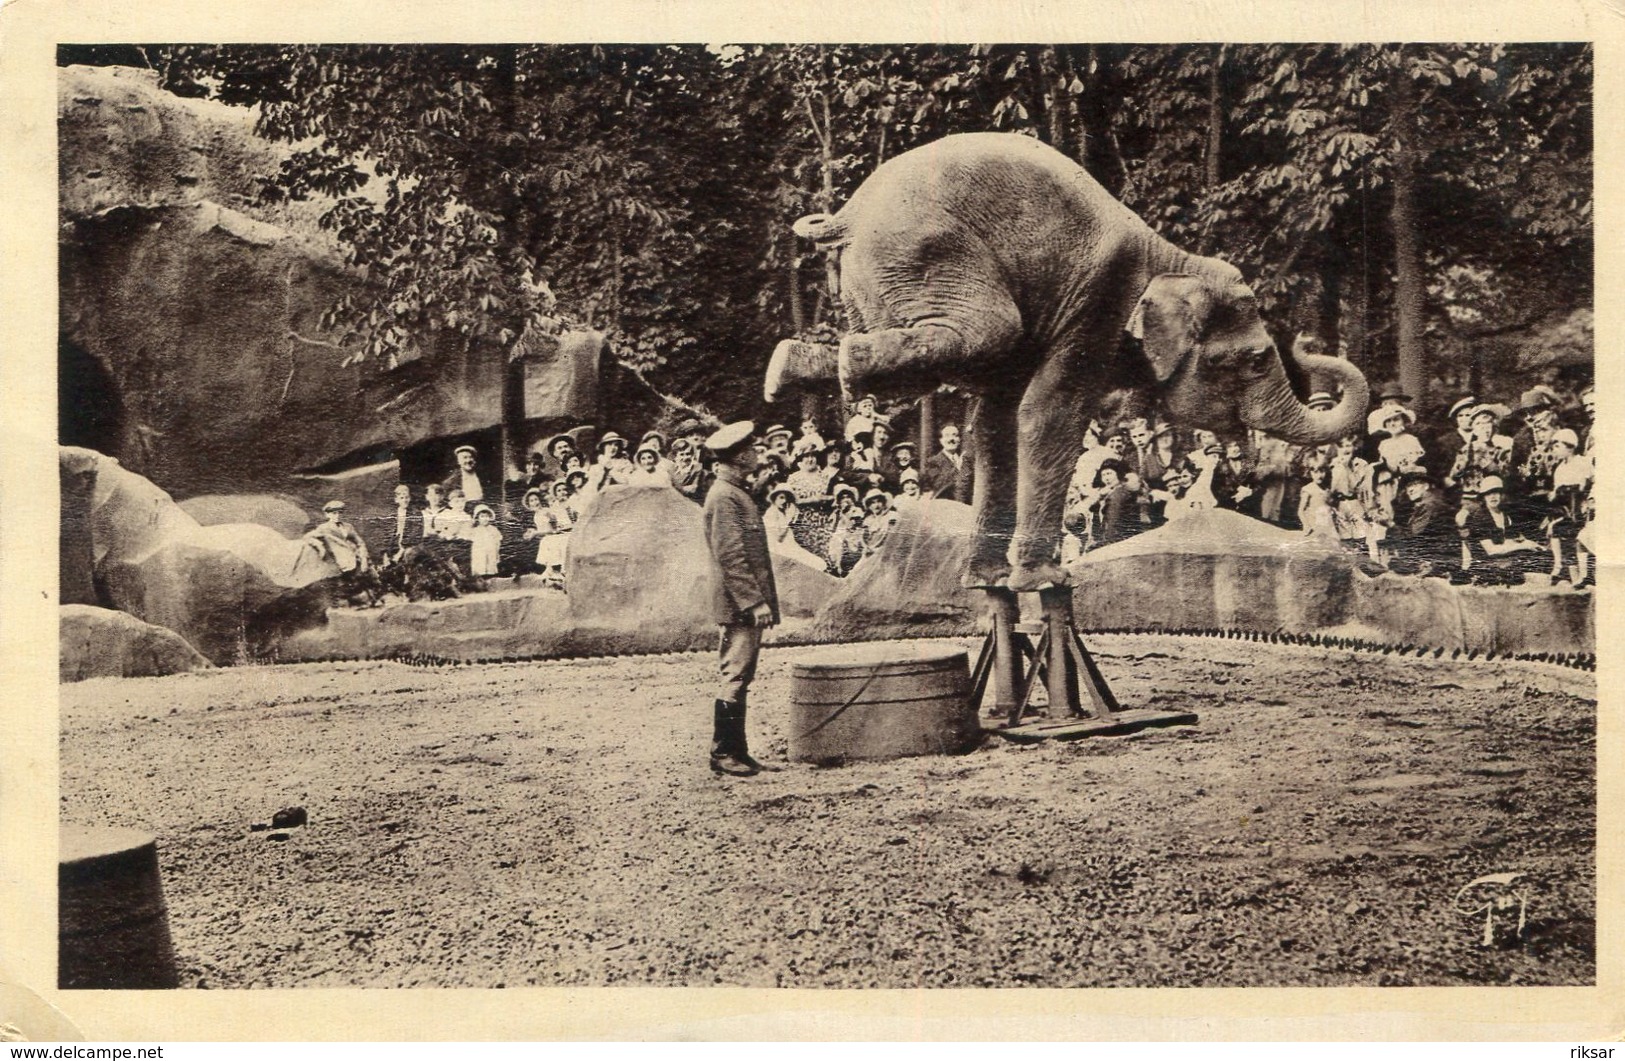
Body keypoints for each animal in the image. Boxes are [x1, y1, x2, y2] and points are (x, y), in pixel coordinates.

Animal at [767, 129, 1365, 591]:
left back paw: (788, 368)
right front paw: (1047, 580)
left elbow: (997, 424)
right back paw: (833, 370)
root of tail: (847, 215)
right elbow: (1050, 413)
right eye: (1256, 359)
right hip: (924, 254)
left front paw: (988, 581)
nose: (1309, 342)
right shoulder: (1097, 302)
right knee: (986, 331)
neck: (1171, 256)